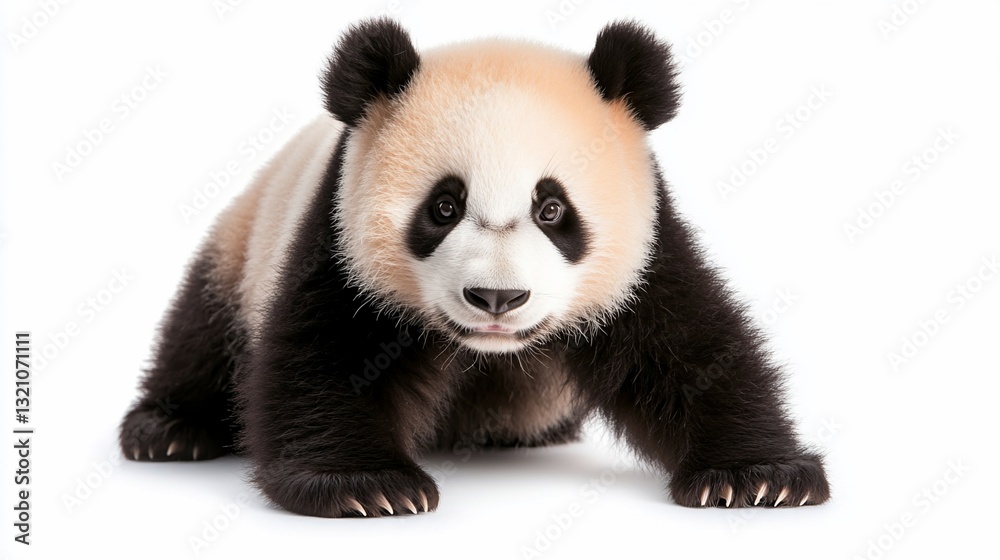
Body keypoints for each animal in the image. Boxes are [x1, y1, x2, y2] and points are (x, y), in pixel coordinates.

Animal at [120, 18, 830, 517]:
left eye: (552, 208)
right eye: (444, 206)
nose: (497, 298)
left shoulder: (646, 247)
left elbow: (692, 348)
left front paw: (757, 477)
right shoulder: (336, 237)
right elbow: (321, 357)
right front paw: (366, 486)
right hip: (244, 239)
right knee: (201, 331)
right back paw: (170, 430)